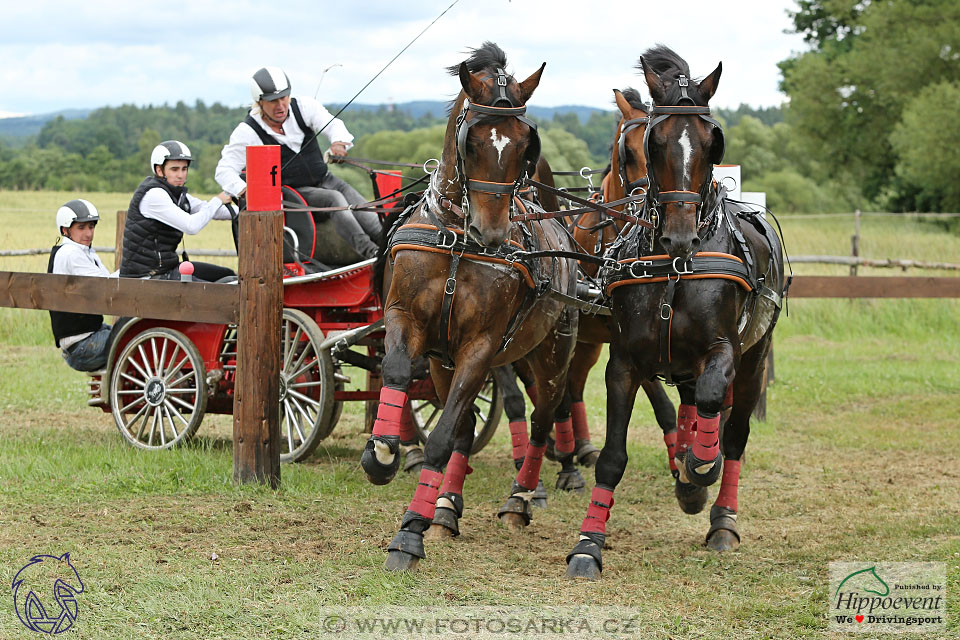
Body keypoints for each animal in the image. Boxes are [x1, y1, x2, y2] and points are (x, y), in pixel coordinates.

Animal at [360, 42, 576, 572]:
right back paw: (444, 506)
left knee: (541, 418)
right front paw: (382, 453)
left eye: (524, 145)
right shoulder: (407, 321)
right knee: (464, 425)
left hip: (550, 354)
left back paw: (520, 499)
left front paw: (408, 535)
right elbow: (399, 374)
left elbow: (441, 439)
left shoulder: (480, 347)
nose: (492, 234)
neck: (458, 242)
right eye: (472, 141)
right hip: (447, 362)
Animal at [568, 42, 784, 576]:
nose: (679, 234)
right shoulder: (625, 358)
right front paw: (588, 544)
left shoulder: (723, 351)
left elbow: (711, 403)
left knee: (734, 431)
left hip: (755, 358)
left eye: (713, 144)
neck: (674, 267)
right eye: (653, 143)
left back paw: (720, 514)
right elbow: (614, 456)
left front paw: (698, 470)